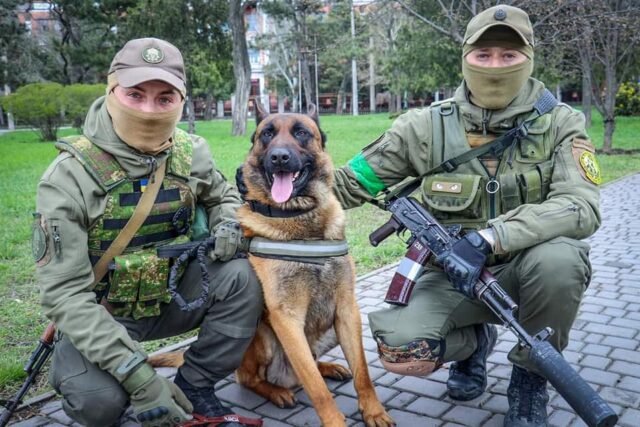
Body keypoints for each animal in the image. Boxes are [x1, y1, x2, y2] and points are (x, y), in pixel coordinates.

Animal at [151, 104, 390, 427]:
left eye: (301, 132)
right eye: (267, 134)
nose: (279, 157)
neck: (299, 219)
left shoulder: (347, 309)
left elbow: (363, 374)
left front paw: (374, 411)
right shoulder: (286, 318)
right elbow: (317, 389)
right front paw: (335, 421)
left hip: (328, 330)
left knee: (311, 363)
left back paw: (328, 367)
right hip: (259, 335)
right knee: (250, 378)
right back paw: (277, 391)